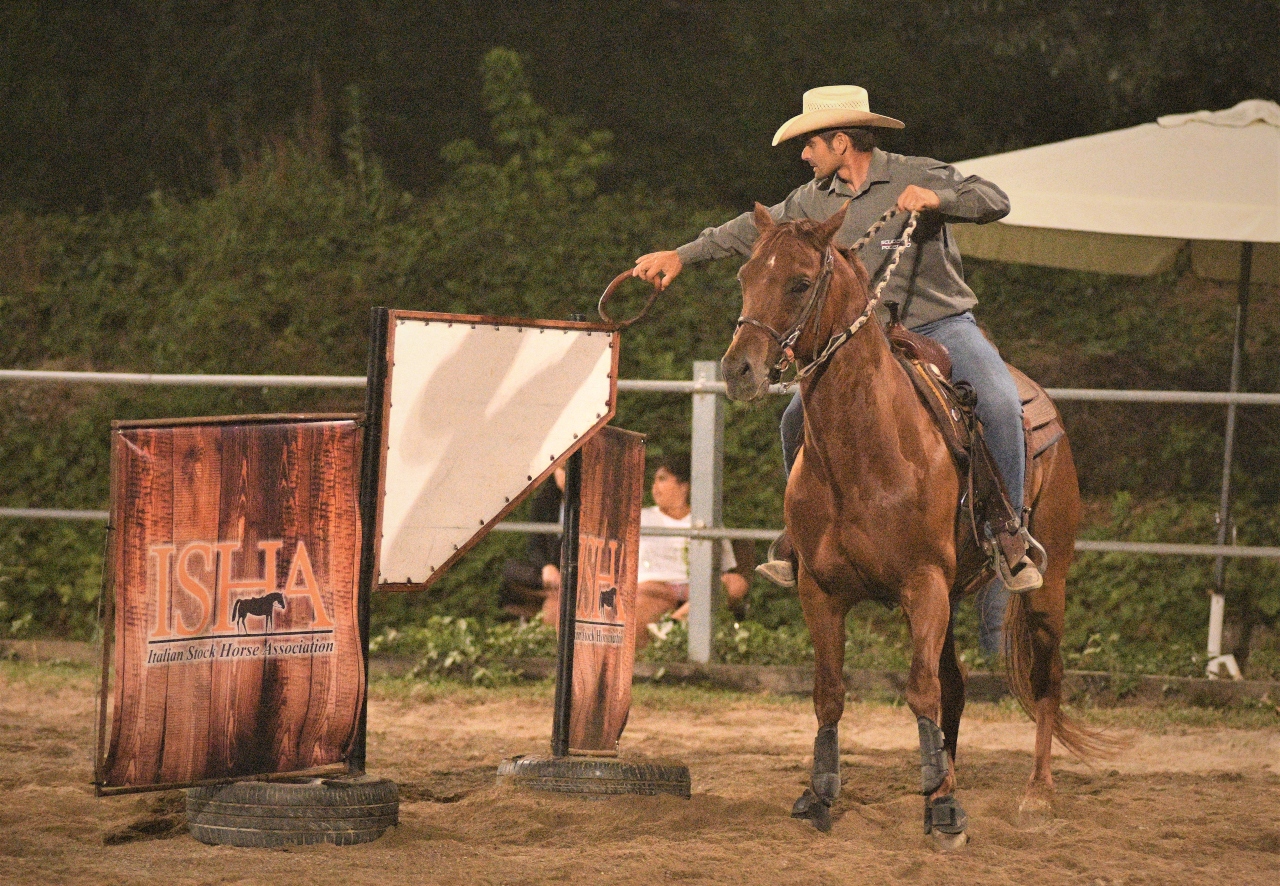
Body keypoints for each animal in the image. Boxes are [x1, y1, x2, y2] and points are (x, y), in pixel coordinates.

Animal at [727, 203, 1105, 850]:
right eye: (746, 275)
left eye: (799, 282)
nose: (737, 368)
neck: (867, 449)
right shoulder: (821, 592)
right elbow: (830, 694)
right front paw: (820, 796)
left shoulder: (923, 584)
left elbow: (920, 689)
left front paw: (946, 814)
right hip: (953, 595)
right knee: (955, 684)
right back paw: (944, 776)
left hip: (1046, 585)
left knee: (1045, 678)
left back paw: (1035, 794)